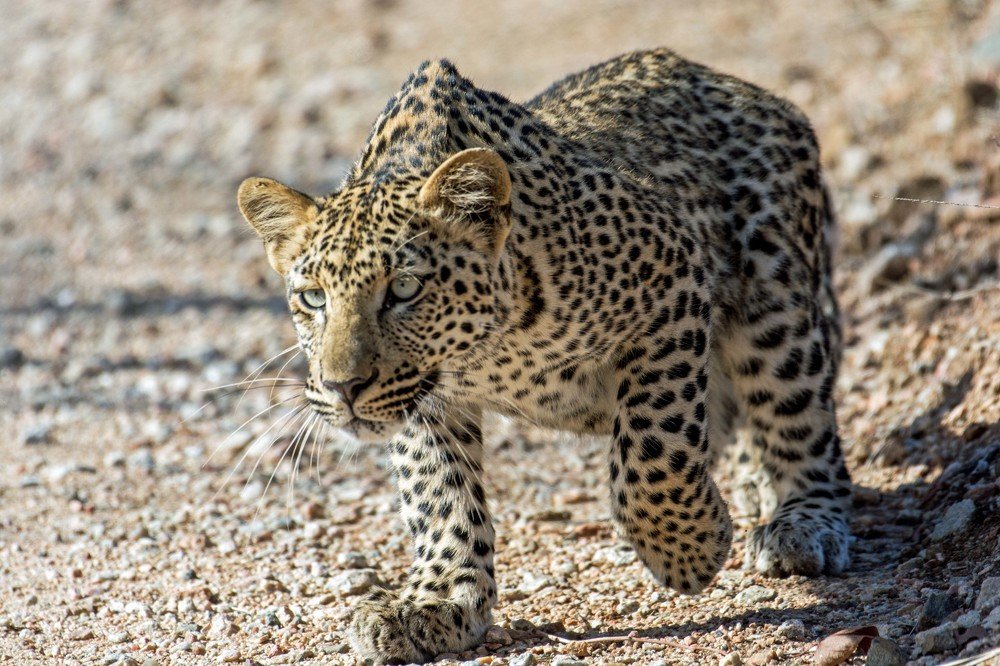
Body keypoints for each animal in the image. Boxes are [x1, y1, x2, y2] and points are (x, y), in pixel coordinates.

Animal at [236, 49, 853, 665]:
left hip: (776, 303)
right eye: (313, 298)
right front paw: (436, 601)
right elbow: (440, 495)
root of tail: (746, 90)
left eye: (405, 288)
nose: (343, 387)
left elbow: (654, 450)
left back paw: (801, 523)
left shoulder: (671, 278)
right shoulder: (427, 400)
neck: (490, 351)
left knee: (800, 422)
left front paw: (688, 548)